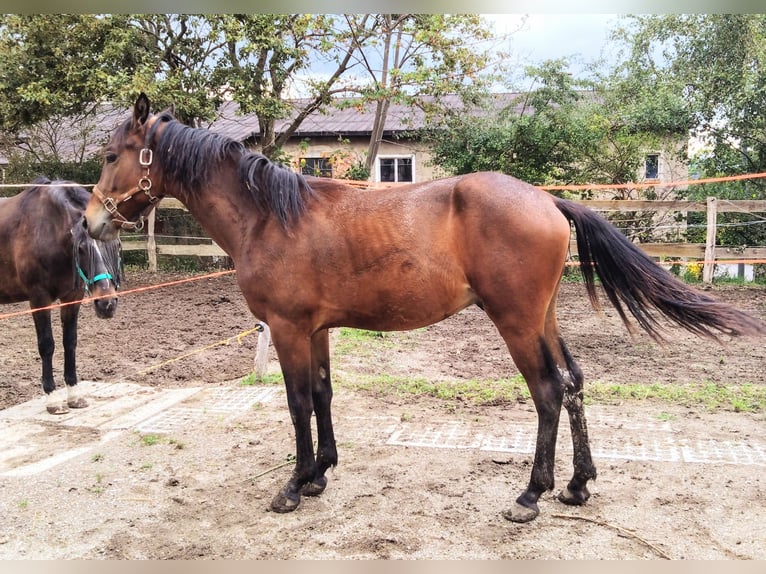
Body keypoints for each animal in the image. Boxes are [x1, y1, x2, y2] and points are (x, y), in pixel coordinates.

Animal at [0, 178, 121, 416]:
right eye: (82, 248)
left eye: (115, 246)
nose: (106, 304)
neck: (47, 232)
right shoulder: (39, 299)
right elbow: (47, 344)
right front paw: (52, 398)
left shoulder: (72, 297)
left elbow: (70, 342)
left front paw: (74, 395)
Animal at [84, 95, 766, 528]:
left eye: (114, 155)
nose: (90, 219)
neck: (270, 217)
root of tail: (547, 200)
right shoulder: (317, 330)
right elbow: (324, 395)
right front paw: (322, 473)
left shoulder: (287, 330)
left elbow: (298, 402)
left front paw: (294, 485)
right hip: (543, 318)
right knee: (574, 383)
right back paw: (577, 485)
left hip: (516, 322)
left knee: (548, 392)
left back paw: (531, 495)